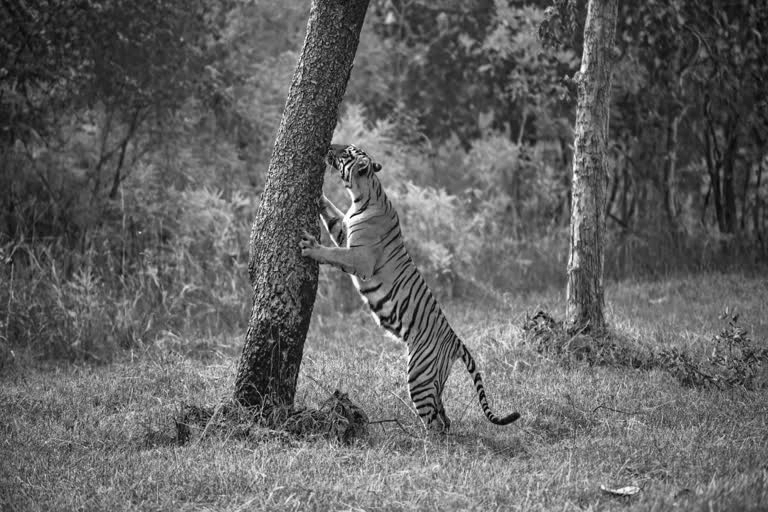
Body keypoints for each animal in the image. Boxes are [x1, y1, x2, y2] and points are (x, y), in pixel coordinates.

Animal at [299, 143, 520, 432]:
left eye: (346, 152)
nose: (329, 146)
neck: (362, 194)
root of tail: (455, 340)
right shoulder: (344, 230)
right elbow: (333, 215)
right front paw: (320, 196)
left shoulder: (360, 258)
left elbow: (332, 254)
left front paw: (310, 247)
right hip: (433, 380)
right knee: (444, 418)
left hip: (418, 375)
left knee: (436, 423)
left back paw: (420, 437)